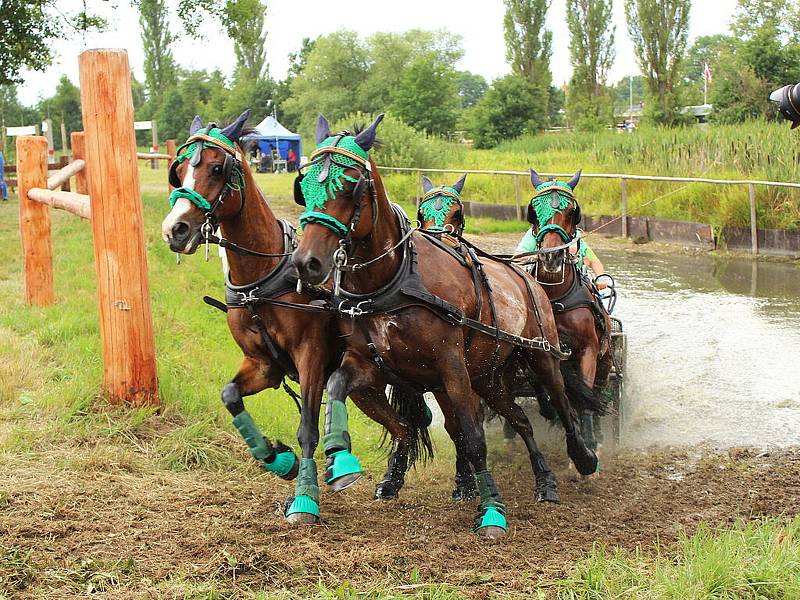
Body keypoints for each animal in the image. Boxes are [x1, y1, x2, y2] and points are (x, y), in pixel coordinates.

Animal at [161, 111, 432, 524]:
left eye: (217, 168)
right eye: (178, 171)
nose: (175, 229)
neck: (261, 279)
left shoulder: (311, 359)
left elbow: (307, 429)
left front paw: (305, 497)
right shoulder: (264, 365)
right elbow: (230, 395)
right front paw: (278, 458)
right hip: (367, 387)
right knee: (404, 425)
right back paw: (389, 481)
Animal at [292, 115, 600, 536]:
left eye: (350, 184)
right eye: (303, 184)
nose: (307, 262)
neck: (394, 280)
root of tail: (530, 277)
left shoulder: (452, 368)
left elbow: (473, 438)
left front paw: (491, 509)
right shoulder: (371, 366)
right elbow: (347, 389)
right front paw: (341, 457)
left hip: (541, 357)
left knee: (565, 406)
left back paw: (582, 458)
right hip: (488, 377)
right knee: (521, 421)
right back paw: (545, 481)